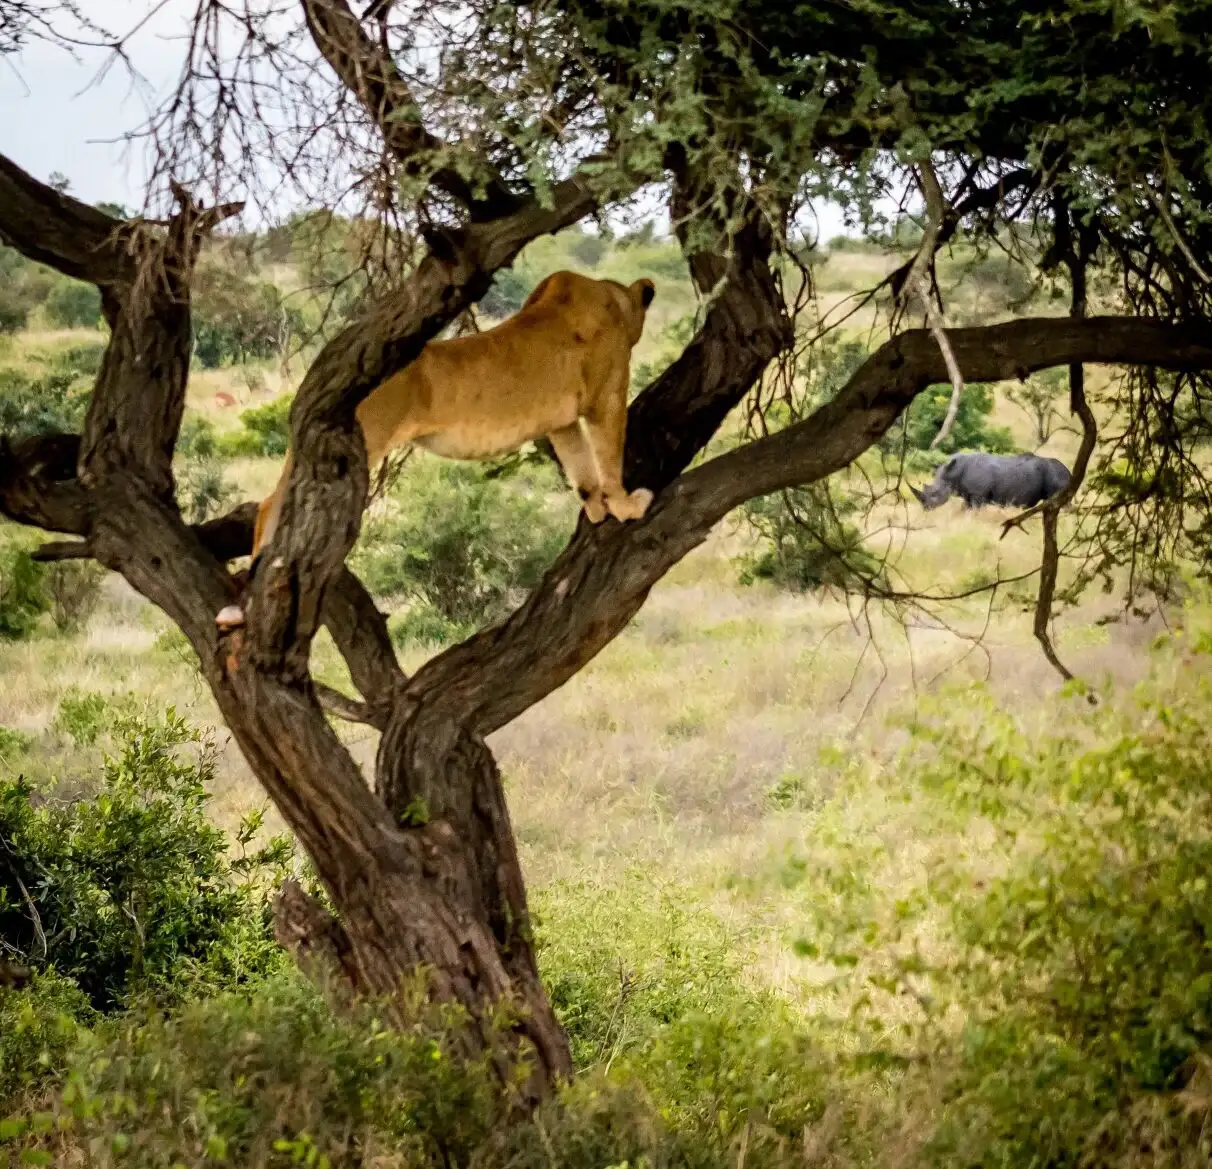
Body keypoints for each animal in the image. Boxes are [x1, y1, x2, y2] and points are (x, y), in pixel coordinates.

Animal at [215, 270, 657, 631]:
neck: (613, 298)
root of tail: (326, 361)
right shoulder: (605, 399)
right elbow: (608, 457)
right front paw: (626, 505)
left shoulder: (561, 422)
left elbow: (582, 470)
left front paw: (597, 509)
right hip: (364, 435)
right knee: (274, 502)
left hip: (310, 447)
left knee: (269, 503)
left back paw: (238, 607)